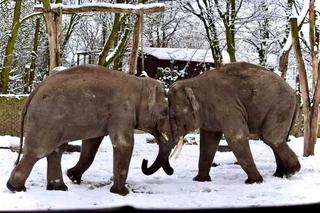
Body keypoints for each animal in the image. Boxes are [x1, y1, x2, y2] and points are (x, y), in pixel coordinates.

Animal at [6, 64, 175, 195]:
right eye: (165, 113)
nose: (145, 162)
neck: (139, 83)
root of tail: (33, 93)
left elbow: (91, 143)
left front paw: (73, 177)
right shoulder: (122, 111)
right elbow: (124, 143)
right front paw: (122, 193)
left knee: (56, 151)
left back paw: (59, 188)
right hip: (45, 120)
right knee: (39, 152)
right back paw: (16, 189)